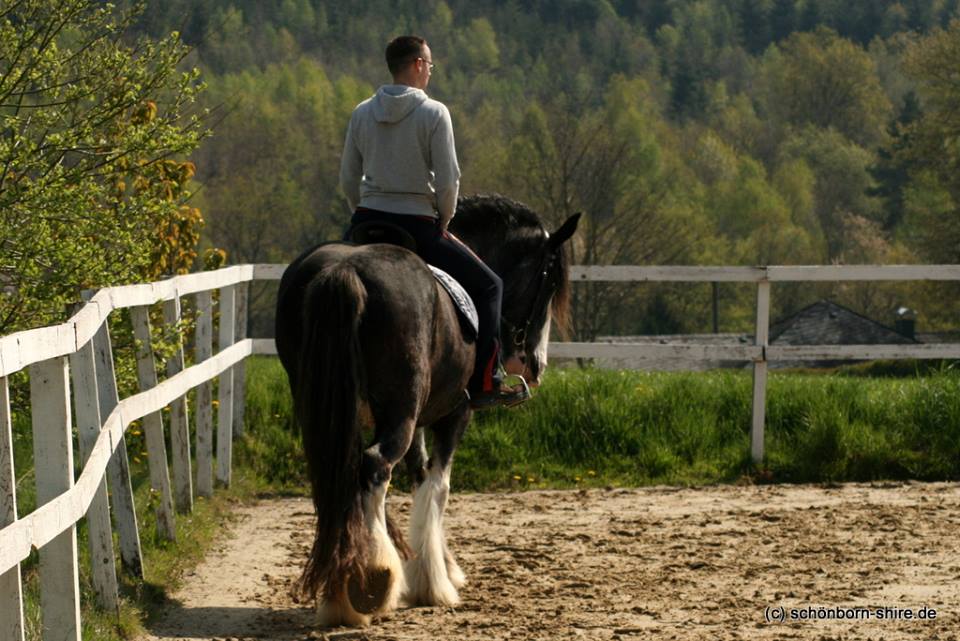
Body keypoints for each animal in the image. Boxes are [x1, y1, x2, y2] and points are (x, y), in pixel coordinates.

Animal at [274, 192, 580, 624]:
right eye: (549, 280)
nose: (536, 364)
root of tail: (345, 269)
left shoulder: (412, 418)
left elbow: (418, 477)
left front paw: (434, 566)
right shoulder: (454, 415)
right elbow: (438, 486)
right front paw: (436, 583)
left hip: (331, 411)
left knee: (344, 473)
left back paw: (341, 591)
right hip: (400, 412)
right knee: (374, 467)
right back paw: (372, 580)